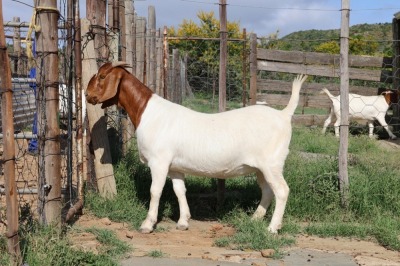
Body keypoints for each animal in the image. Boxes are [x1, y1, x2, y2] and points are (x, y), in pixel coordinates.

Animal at [86, 61, 308, 233]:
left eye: (102, 76)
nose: (87, 94)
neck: (146, 112)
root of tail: (284, 114)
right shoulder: (175, 166)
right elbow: (179, 190)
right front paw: (183, 221)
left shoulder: (159, 161)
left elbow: (155, 190)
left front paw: (147, 224)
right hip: (260, 168)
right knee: (268, 191)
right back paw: (254, 219)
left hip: (272, 163)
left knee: (282, 191)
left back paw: (272, 228)